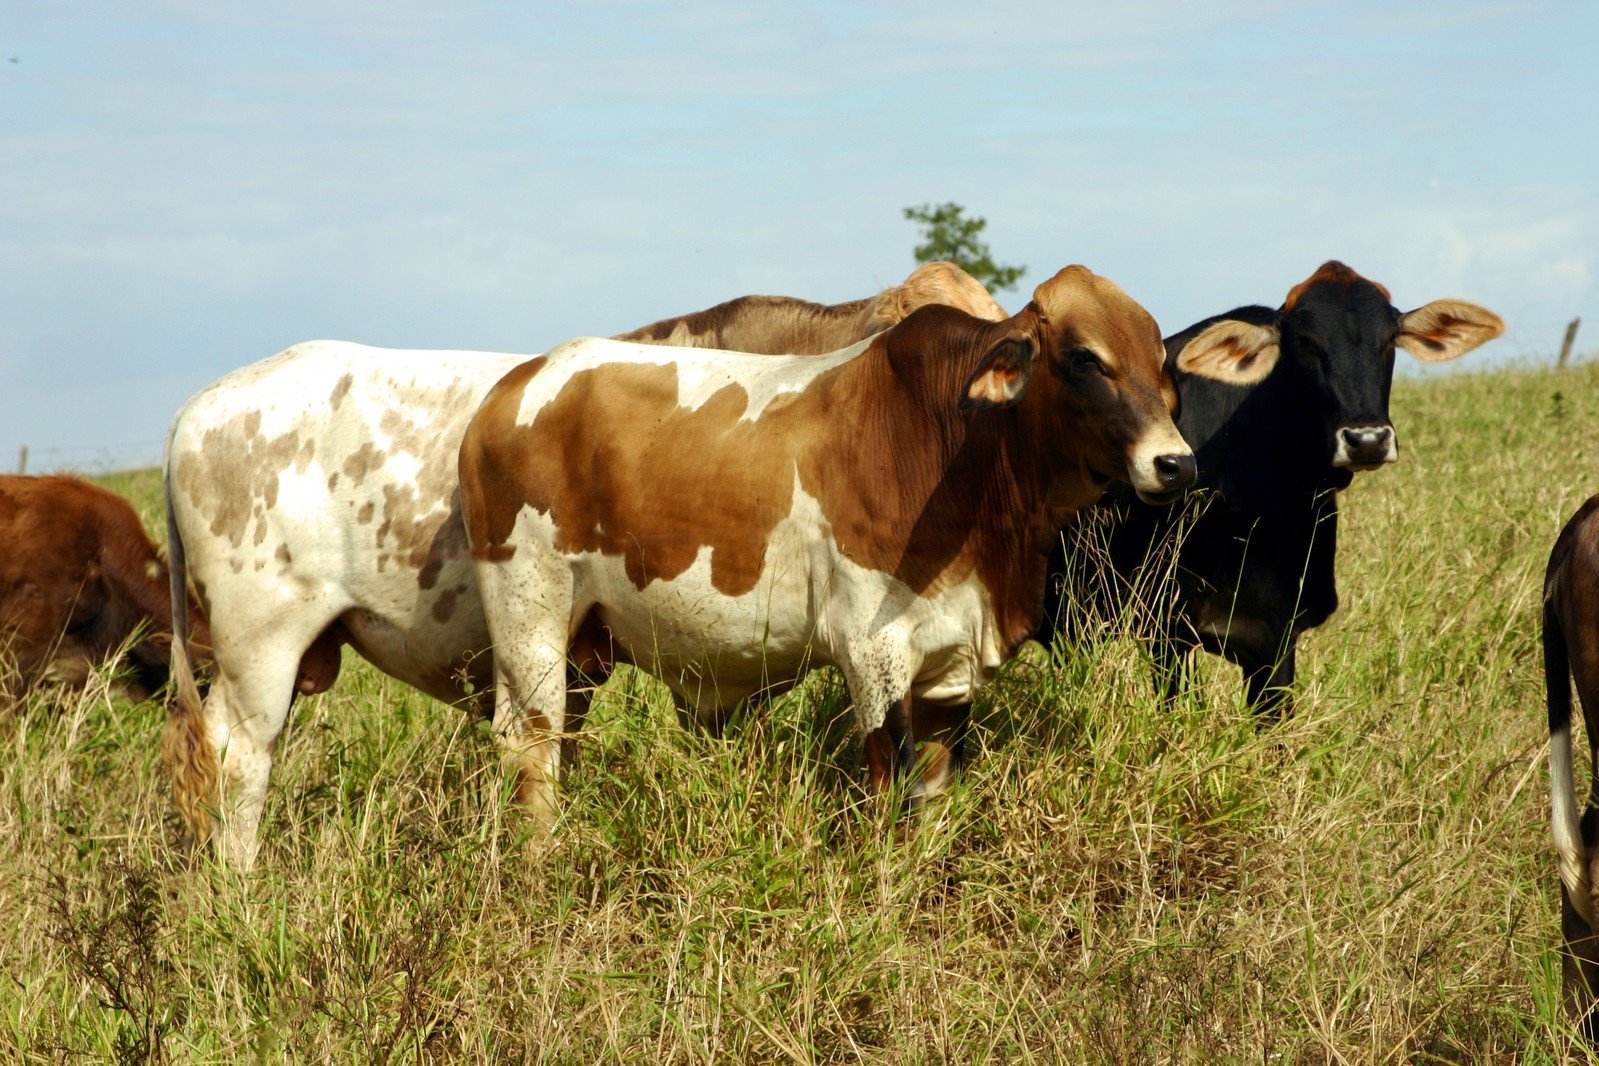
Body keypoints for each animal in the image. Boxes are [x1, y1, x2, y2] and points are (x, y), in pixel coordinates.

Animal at [454, 266, 1247, 831]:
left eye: (1161, 364)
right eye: (1086, 359)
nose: (1175, 465)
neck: (954, 442)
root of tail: (515, 384)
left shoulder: (948, 670)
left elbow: (933, 800)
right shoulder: (873, 653)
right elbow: (894, 791)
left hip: (581, 646)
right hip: (529, 630)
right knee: (532, 755)